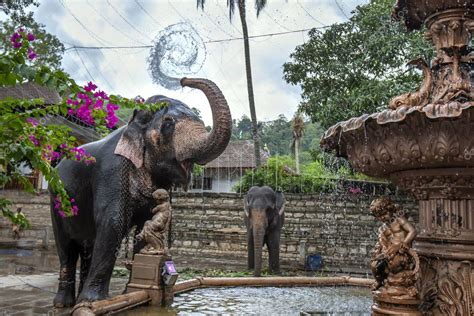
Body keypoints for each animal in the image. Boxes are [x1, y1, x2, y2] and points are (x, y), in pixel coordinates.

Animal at [50, 77, 231, 306]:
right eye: (168, 123)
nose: (183, 81)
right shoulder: (111, 171)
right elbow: (113, 222)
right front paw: (93, 302)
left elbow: (147, 221)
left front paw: (130, 292)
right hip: (56, 201)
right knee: (66, 248)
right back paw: (65, 304)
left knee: (87, 246)